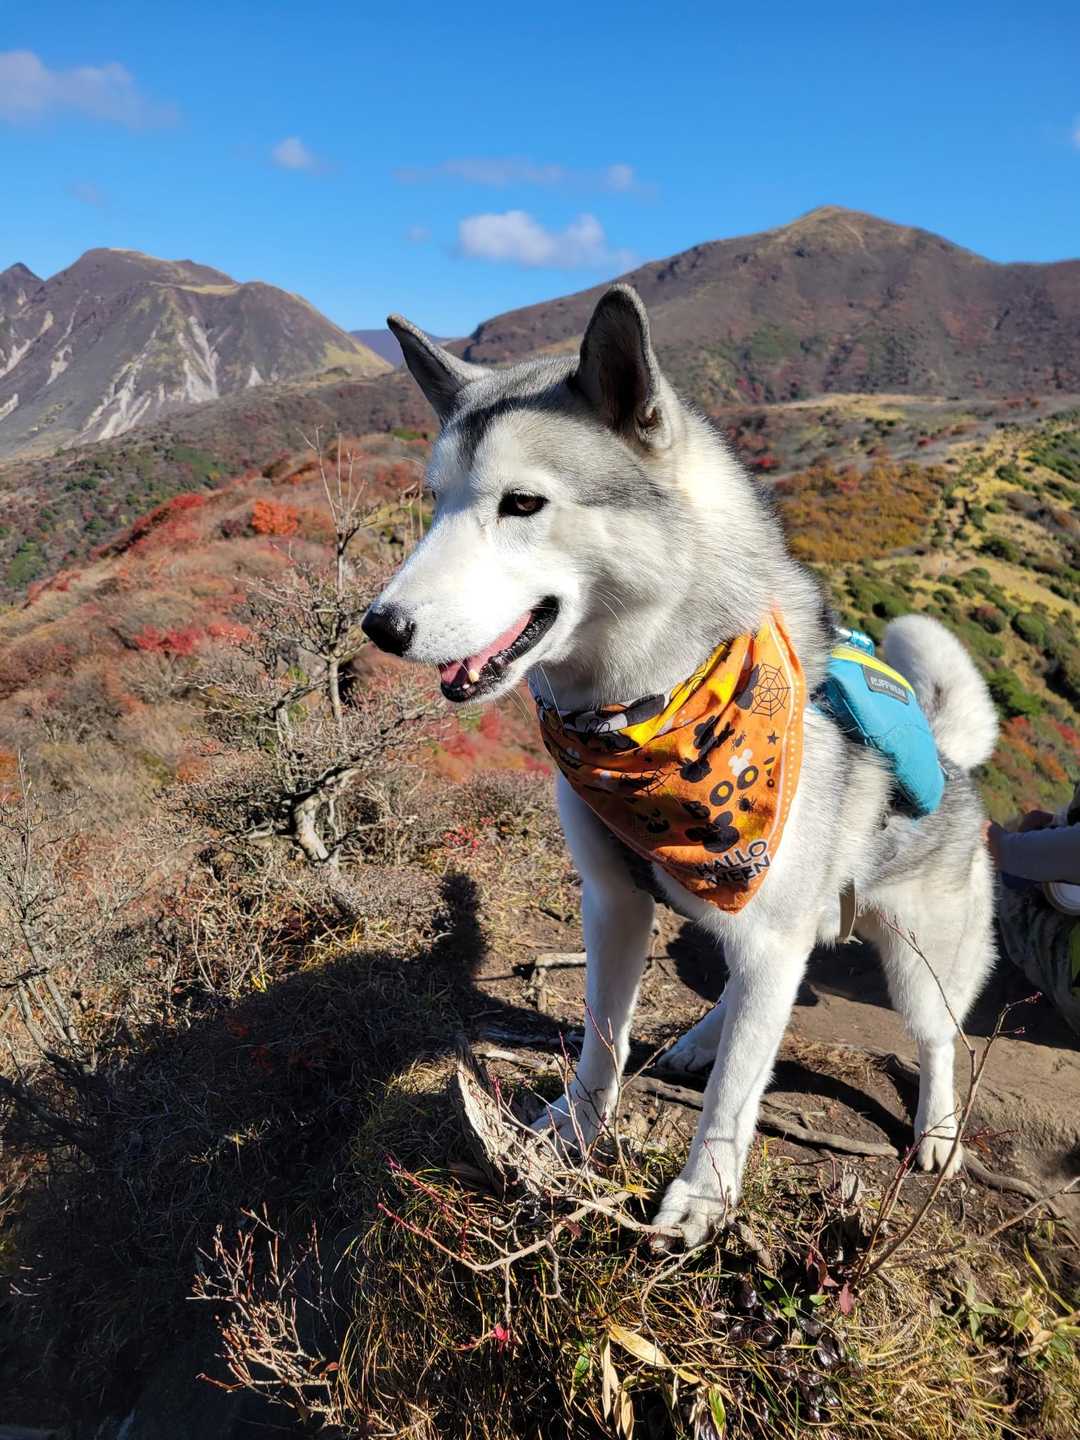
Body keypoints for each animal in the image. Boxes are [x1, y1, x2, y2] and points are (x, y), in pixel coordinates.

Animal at [362, 285, 999, 1245]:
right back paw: (705, 1035)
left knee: (932, 1038)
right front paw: (574, 1127)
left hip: (921, 956)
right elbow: (603, 1037)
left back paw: (937, 1130)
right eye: (434, 503)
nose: (380, 625)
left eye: (522, 504)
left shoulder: (765, 924)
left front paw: (706, 1194)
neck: (643, 705)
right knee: (748, 996)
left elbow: (737, 1095)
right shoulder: (613, 902)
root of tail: (949, 753)